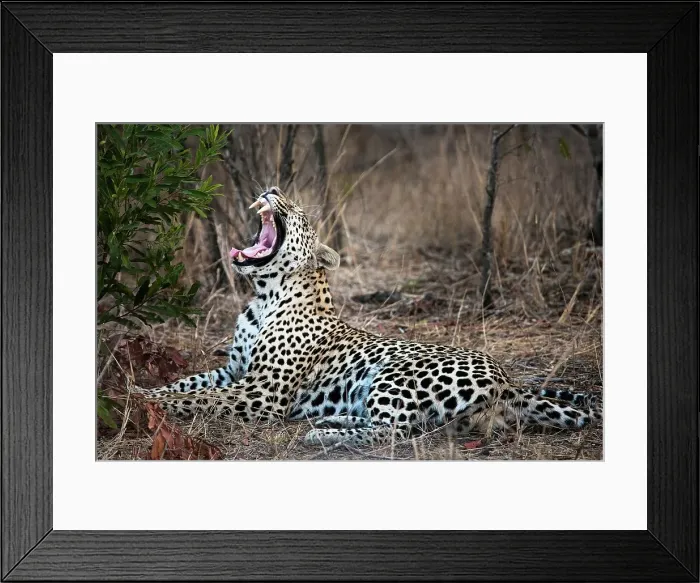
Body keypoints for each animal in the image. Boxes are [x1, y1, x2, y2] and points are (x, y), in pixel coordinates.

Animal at [137, 186, 602, 448]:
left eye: (299, 213)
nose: (271, 187)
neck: (263, 297)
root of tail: (508, 382)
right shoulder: (233, 372)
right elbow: (187, 383)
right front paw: (139, 391)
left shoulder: (262, 393)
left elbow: (200, 398)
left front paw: (144, 404)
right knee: (393, 423)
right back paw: (332, 418)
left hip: (393, 373)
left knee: (395, 431)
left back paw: (321, 435)